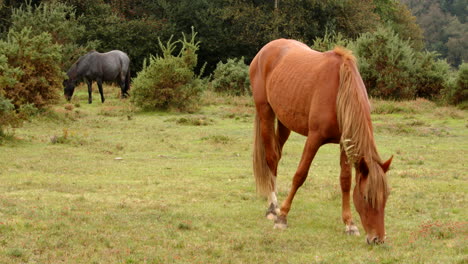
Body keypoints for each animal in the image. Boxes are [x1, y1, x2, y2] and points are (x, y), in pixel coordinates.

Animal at [250, 38, 394, 244]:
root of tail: (265, 50)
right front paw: (282, 217)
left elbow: (345, 181)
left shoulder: (344, 143)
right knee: (270, 158)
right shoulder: (314, 138)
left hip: (285, 122)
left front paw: (350, 224)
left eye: (386, 196)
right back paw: (273, 207)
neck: (340, 90)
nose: (377, 239)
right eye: (367, 197)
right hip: (265, 112)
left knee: (276, 156)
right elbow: (300, 175)